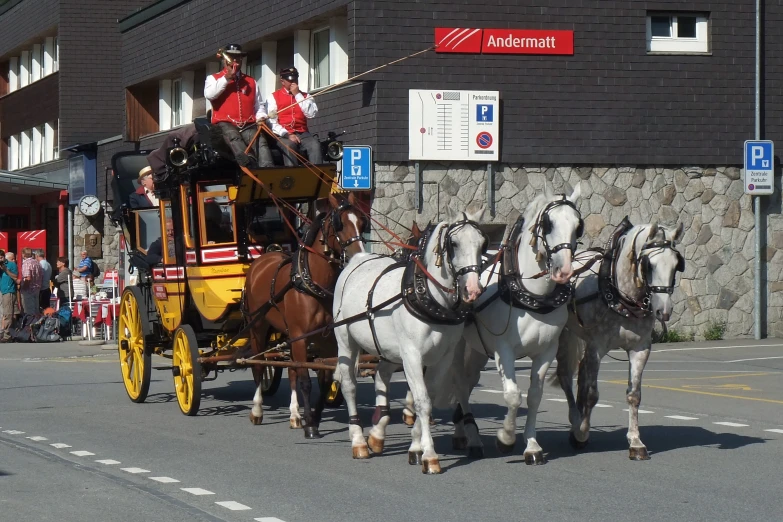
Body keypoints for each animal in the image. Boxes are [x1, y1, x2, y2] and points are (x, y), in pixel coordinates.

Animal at [245, 193, 368, 436]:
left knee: (291, 368)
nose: (358, 253)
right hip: (258, 327)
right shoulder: (300, 337)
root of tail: (262, 260)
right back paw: (257, 409)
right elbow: (305, 381)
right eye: (339, 224)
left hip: (287, 334)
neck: (311, 282)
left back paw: (294, 415)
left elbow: (325, 379)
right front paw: (311, 424)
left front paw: (314, 418)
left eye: (361, 221)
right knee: (259, 364)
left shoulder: (327, 341)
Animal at [334, 204, 486, 472]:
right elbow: (423, 401)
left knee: (381, 375)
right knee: (350, 386)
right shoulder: (413, 355)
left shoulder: (443, 357)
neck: (430, 298)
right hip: (346, 342)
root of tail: (358, 259)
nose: (473, 290)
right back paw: (359, 440)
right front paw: (430, 455)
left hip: (389, 351)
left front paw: (416, 447)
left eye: (482, 243)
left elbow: (427, 397)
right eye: (454, 243)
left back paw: (376, 435)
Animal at [432, 185, 584, 462]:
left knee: (469, 381)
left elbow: (534, 396)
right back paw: (472, 439)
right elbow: (513, 396)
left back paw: (462, 432)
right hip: (458, 346)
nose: (563, 271)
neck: (532, 294)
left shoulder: (546, 351)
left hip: (478, 350)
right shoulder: (504, 350)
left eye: (578, 226)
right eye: (548, 223)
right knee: (461, 384)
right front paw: (505, 438)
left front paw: (532, 445)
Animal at [552, 217, 688, 458]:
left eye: (676, 264)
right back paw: (576, 422)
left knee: (582, 373)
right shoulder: (597, 348)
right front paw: (582, 431)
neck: (622, 296)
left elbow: (634, 395)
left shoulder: (640, 349)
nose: (663, 310)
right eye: (649, 265)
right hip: (565, 336)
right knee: (566, 376)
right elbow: (592, 394)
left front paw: (635, 442)